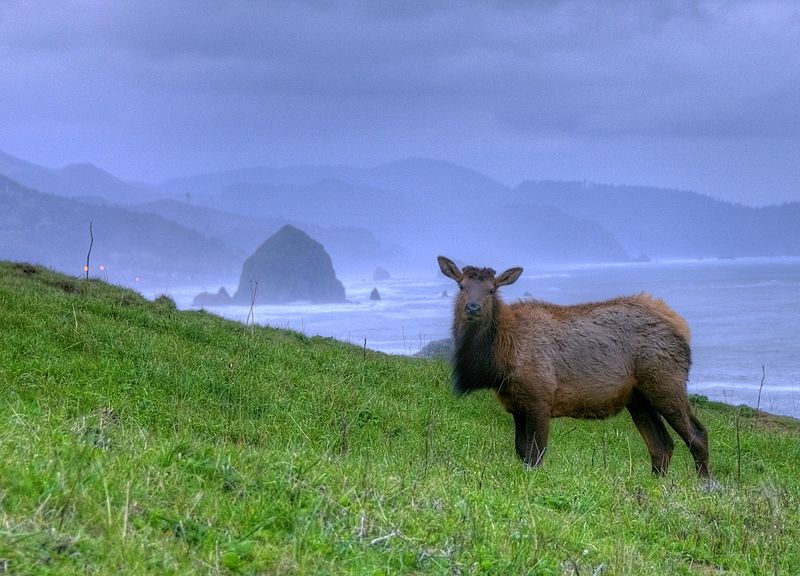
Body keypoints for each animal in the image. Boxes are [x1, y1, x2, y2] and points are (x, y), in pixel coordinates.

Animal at [440, 256, 708, 476]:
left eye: (491, 289)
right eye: (461, 286)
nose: (473, 307)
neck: (500, 362)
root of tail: (681, 324)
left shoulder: (540, 397)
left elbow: (536, 454)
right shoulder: (516, 405)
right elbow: (522, 452)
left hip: (667, 382)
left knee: (697, 435)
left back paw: (705, 484)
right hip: (638, 397)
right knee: (662, 444)